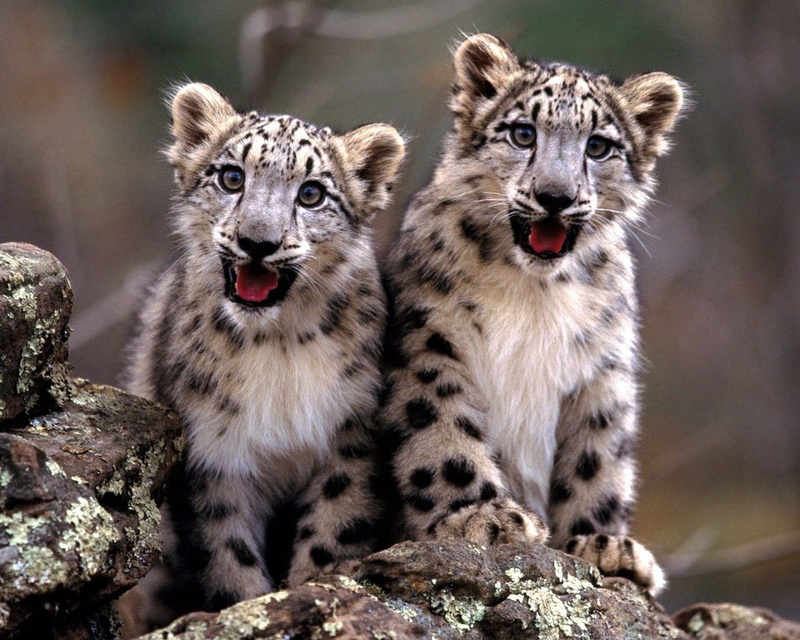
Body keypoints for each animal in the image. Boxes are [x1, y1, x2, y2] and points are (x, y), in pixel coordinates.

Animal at [120, 82, 404, 630]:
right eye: (232, 177)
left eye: (311, 193)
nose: (257, 242)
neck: (277, 347)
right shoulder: (213, 455)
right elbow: (228, 556)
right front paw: (248, 609)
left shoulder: (350, 439)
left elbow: (332, 533)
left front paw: (311, 590)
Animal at [380, 33, 686, 595]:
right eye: (523, 133)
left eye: (598, 146)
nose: (555, 196)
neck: (534, 293)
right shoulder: (428, 342)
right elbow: (441, 429)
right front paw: (482, 516)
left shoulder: (602, 368)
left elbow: (597, 457)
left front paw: (602, 544)